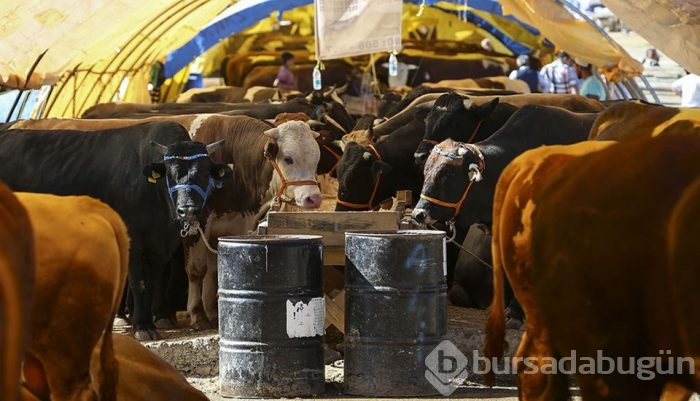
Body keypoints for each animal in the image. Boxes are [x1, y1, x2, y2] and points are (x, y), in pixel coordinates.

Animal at [0, 121, 227, 338]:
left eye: (204, 173)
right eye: (170, 175)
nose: (187, 209)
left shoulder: (161, 244)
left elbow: (153, 282)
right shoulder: (133, 238)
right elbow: (138, 282)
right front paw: (142, 327)